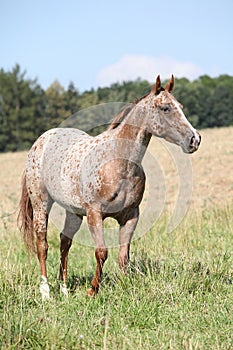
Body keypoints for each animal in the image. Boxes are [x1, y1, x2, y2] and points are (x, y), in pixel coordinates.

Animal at [17, 75, 200, 300]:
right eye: (165, 108)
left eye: (180, 106)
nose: (194, 139)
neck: (118, 162)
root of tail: (41, 141)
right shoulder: (95, 214)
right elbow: (101, 252)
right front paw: (92, 290)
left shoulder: (130, 215)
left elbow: (123, 256)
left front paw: (125, 287)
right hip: (41, 204)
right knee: (42, 245)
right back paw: (46, 292)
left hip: (73, 212)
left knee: (64, 242)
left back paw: (64, 288)